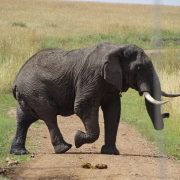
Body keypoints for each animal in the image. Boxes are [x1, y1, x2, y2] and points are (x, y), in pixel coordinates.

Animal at [10, 42, 180, 155]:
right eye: (139, 68)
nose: (167, 115)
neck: (118, 49)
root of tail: (16, 81)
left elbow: (113, 110)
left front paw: (110, 153)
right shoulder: (91, 76)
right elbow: (83, 106)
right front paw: (78, 138)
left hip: (28, 93)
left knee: (24, 119)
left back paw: (20, 152)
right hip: (36, 90)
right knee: (49, 115)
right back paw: (65, 148)